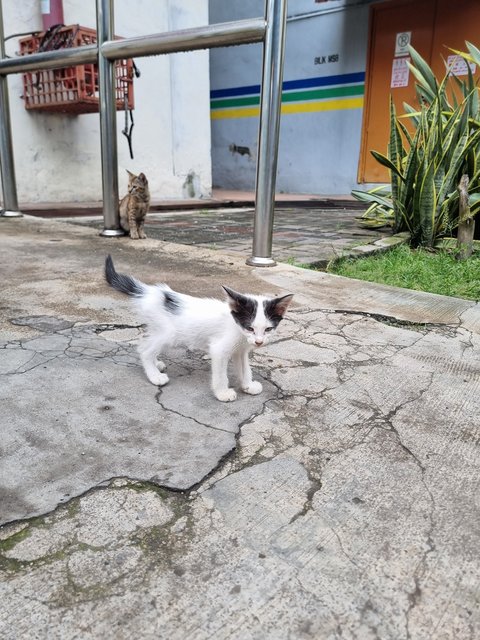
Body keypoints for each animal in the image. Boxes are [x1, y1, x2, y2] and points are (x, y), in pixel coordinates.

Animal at [105, 254, 292, 400]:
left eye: (268, 329)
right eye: (250, 328)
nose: (259, 342)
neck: (237, 329)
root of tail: (151, 292)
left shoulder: (241, 350)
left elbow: (245, 368)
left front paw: (248, 385)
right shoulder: (219, 349)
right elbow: (220, 374)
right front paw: (223, 393)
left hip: (158, 328)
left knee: (147, 343)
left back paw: (155, 363)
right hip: (169, 333)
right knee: (144, 350)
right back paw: (155, 376)